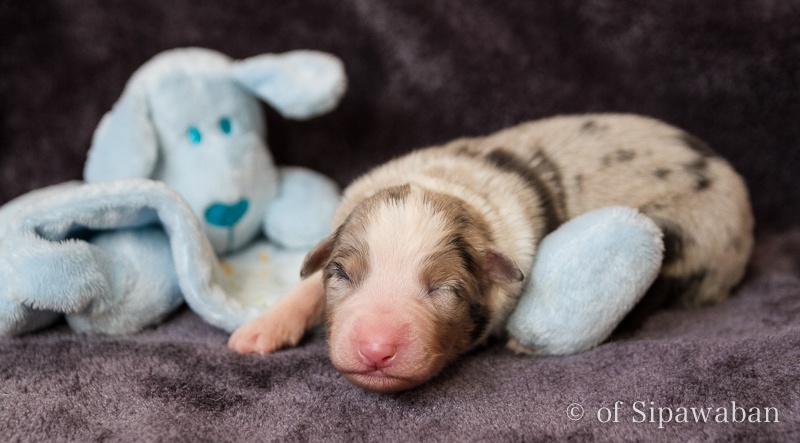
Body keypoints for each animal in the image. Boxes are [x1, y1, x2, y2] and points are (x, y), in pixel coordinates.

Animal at [229, 114, 754, 392]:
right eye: (342, 275)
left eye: (444, 289)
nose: (376, 350)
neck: (447, 186)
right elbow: (307, 284)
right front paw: (260, 330)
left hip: (689, 240)